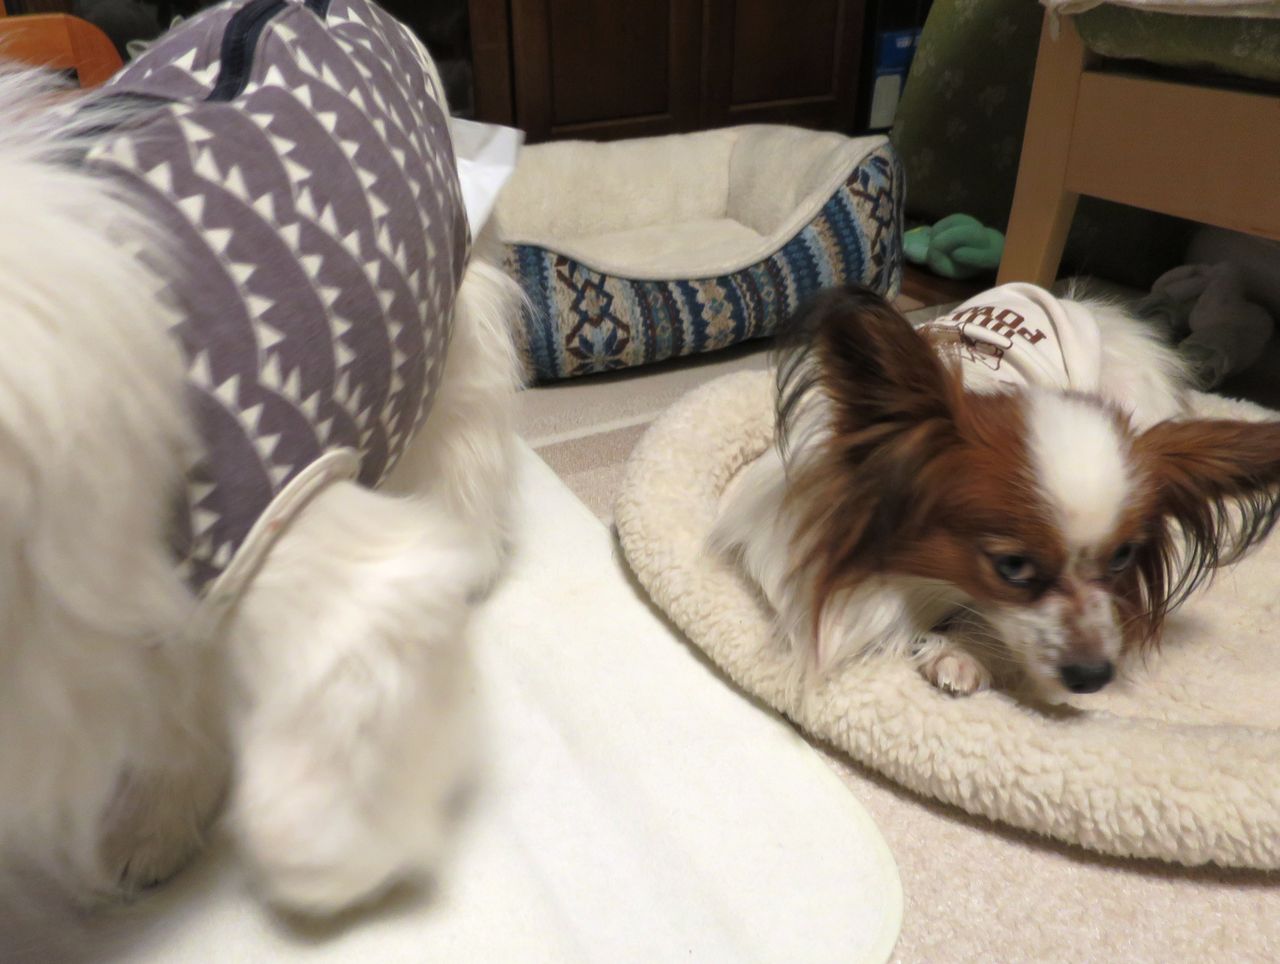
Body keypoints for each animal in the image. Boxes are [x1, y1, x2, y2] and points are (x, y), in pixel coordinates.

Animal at [0, 0, 520, 925]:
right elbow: (172, 705)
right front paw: (154, 824)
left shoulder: (296, 537)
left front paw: (319, 865)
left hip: (461, 312)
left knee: (468, 450)